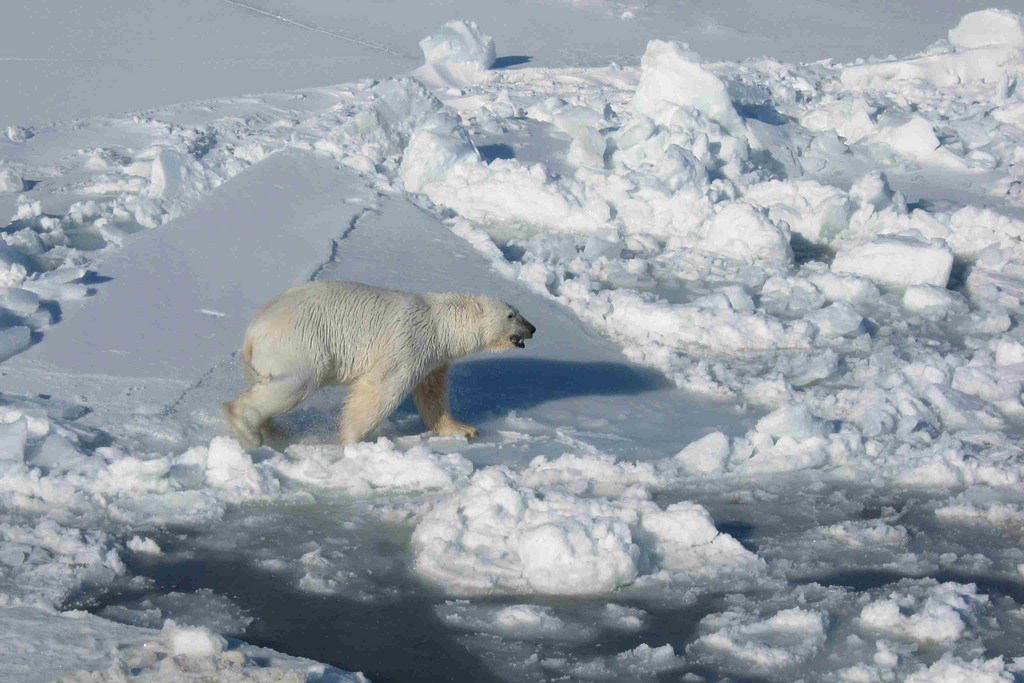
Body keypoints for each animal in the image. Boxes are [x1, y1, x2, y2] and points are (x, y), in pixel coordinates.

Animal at [222, 278, 536, 448]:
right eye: (511, 315)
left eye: (519, 311)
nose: (532, 328)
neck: (440, 323)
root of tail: (253, 330)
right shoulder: (410, 341)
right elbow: (383, 387)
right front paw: (352, 438)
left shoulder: (434, 357)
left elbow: (432, 394)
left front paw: (464, 429)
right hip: (300, 343)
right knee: (296, 381)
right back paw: (247, 429)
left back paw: (275, 432)